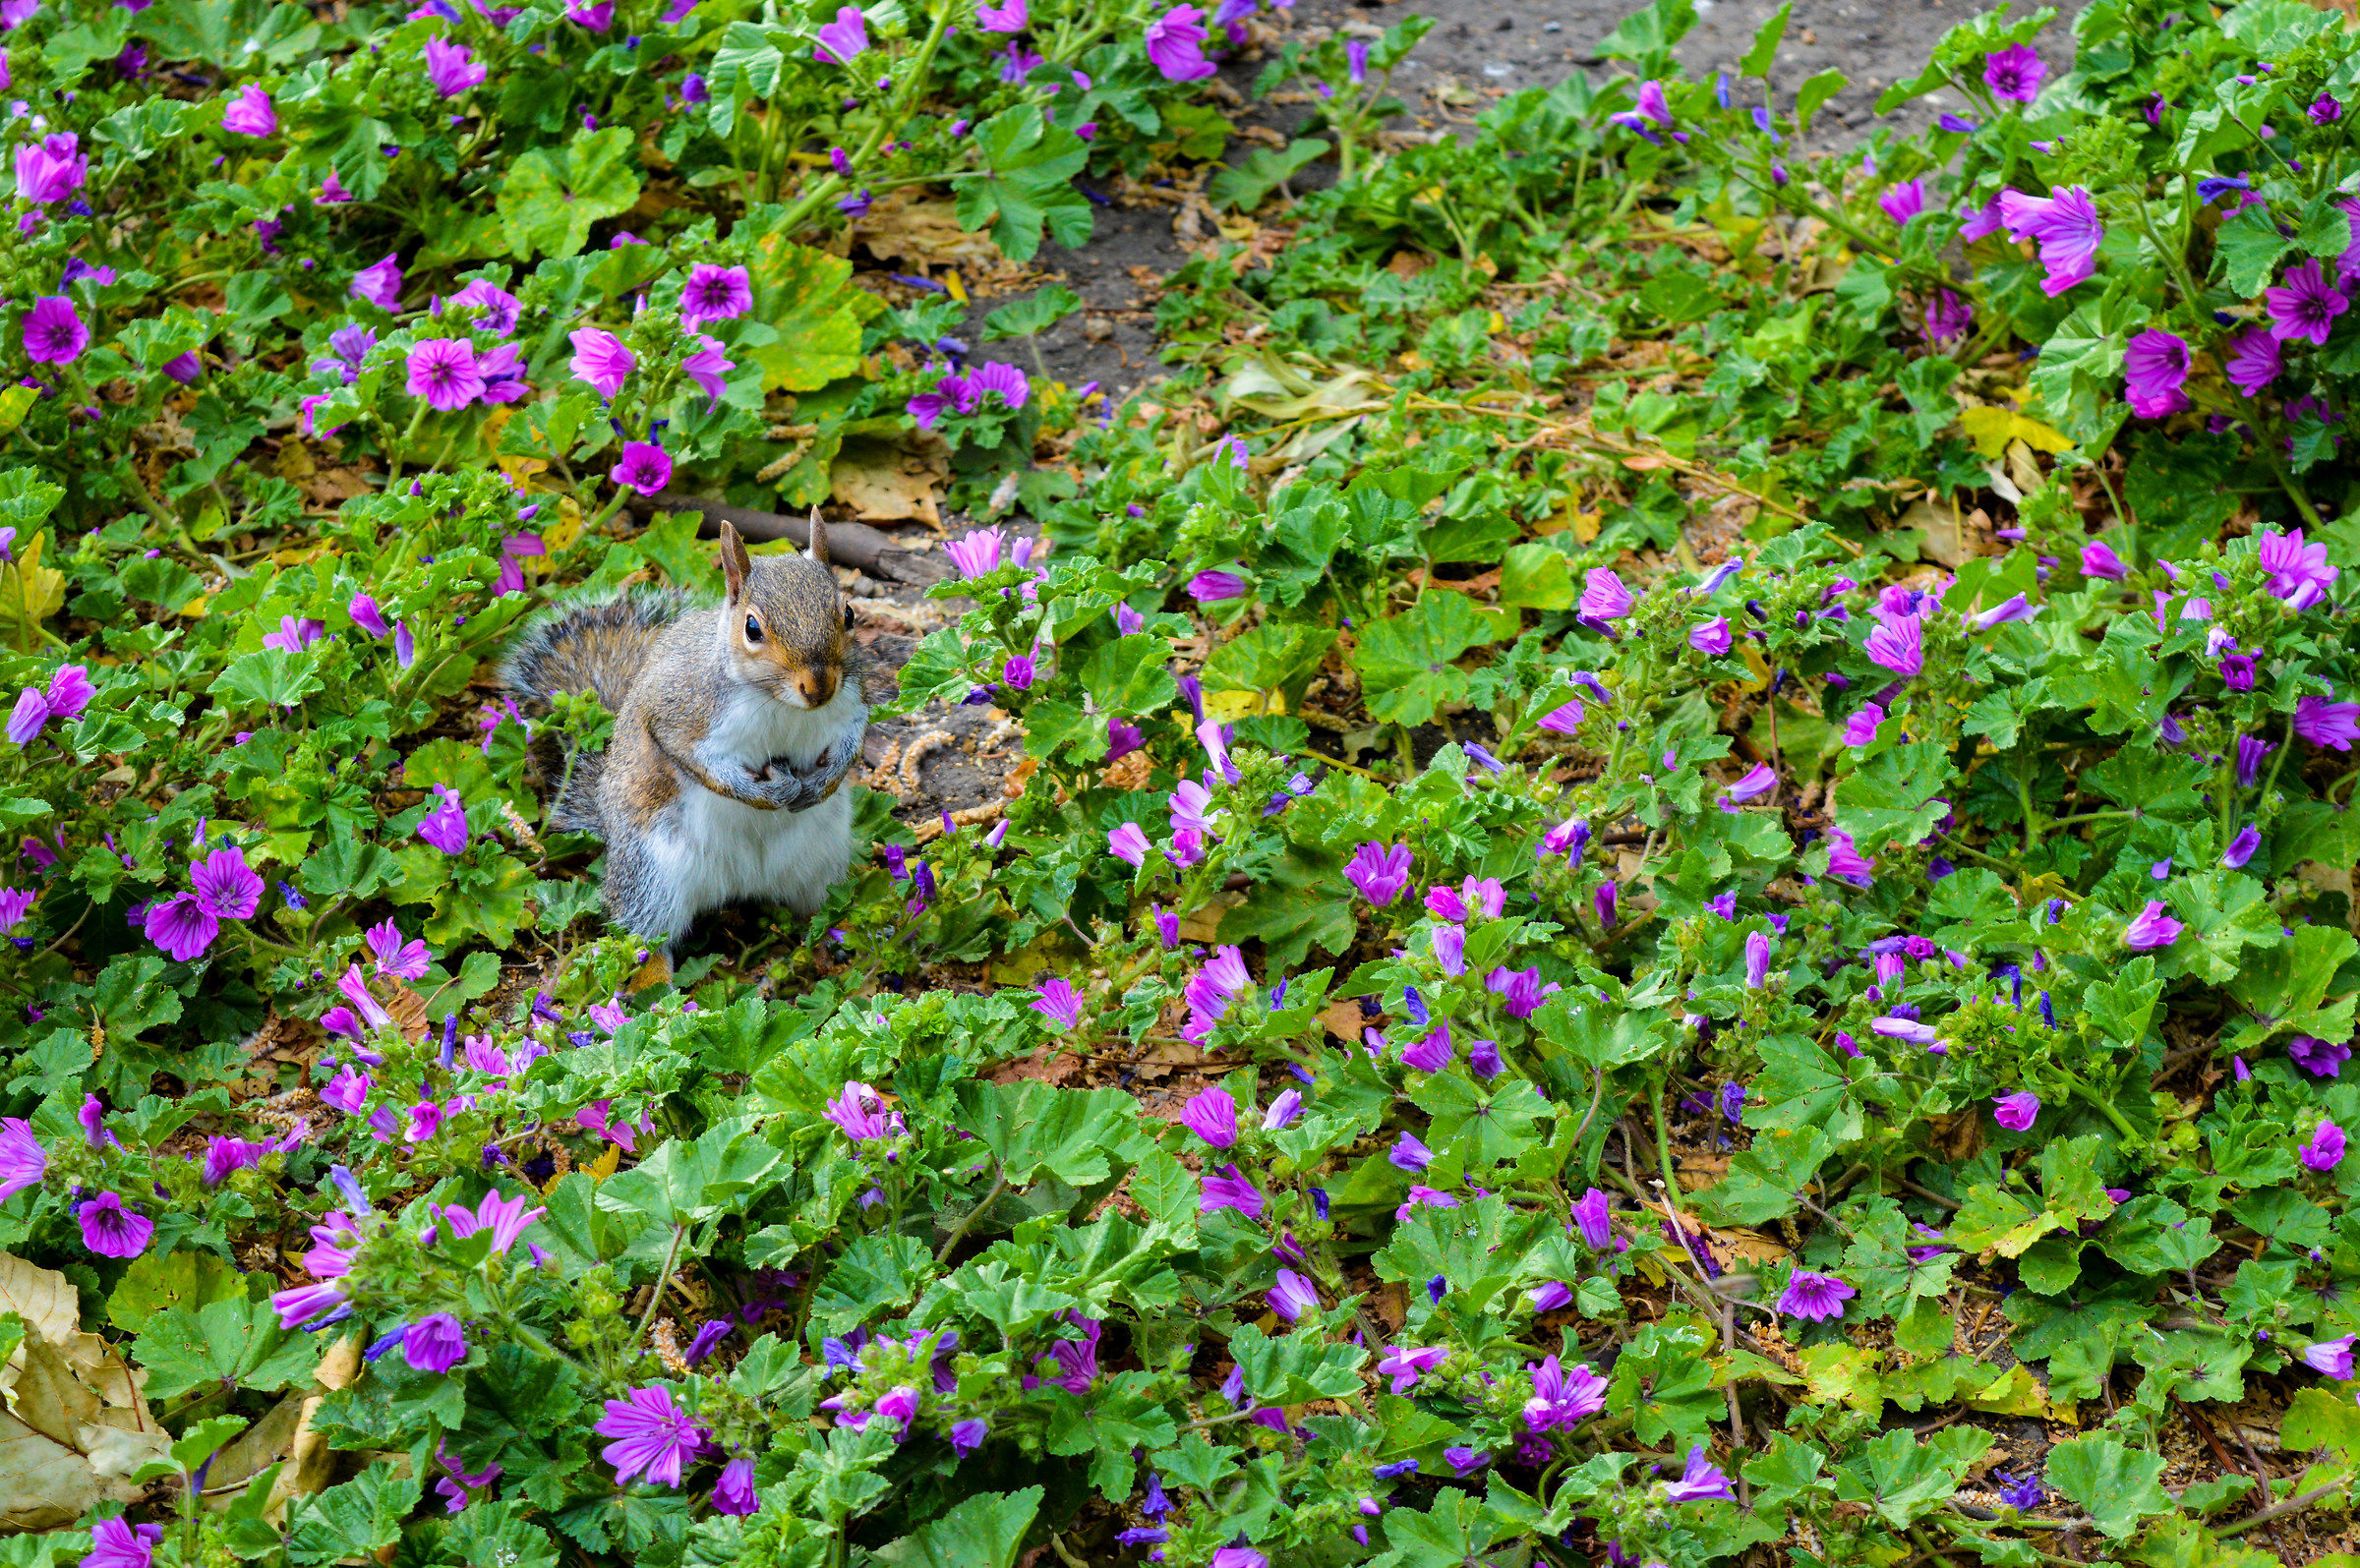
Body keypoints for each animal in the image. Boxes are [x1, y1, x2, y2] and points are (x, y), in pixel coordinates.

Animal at [501, 518, 869, 961]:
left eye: (848, 613)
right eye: (752, 628)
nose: (818, 688)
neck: (779, 702)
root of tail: (743, 882)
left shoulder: (851, 700)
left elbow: (853, 737)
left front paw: (825, 781)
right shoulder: (681, 714)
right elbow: (697, 762)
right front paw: (764, 794)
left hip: (821, 863)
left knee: (816, 909)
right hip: (653, 874)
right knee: (644, 938)